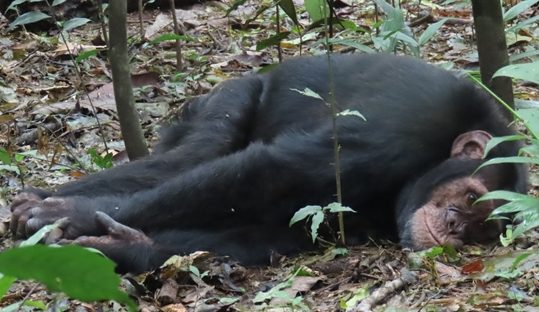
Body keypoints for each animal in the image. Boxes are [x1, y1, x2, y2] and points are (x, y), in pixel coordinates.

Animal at [9, 53, 528, 272]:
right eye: (470, 199)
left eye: (483, 228)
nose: (457, 227)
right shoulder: (401, 133)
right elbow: (271, 175)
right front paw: (70, 215)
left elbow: (267, 231)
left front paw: (123, 246)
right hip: (230, 94)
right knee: (196, 154)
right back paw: (39, 203)